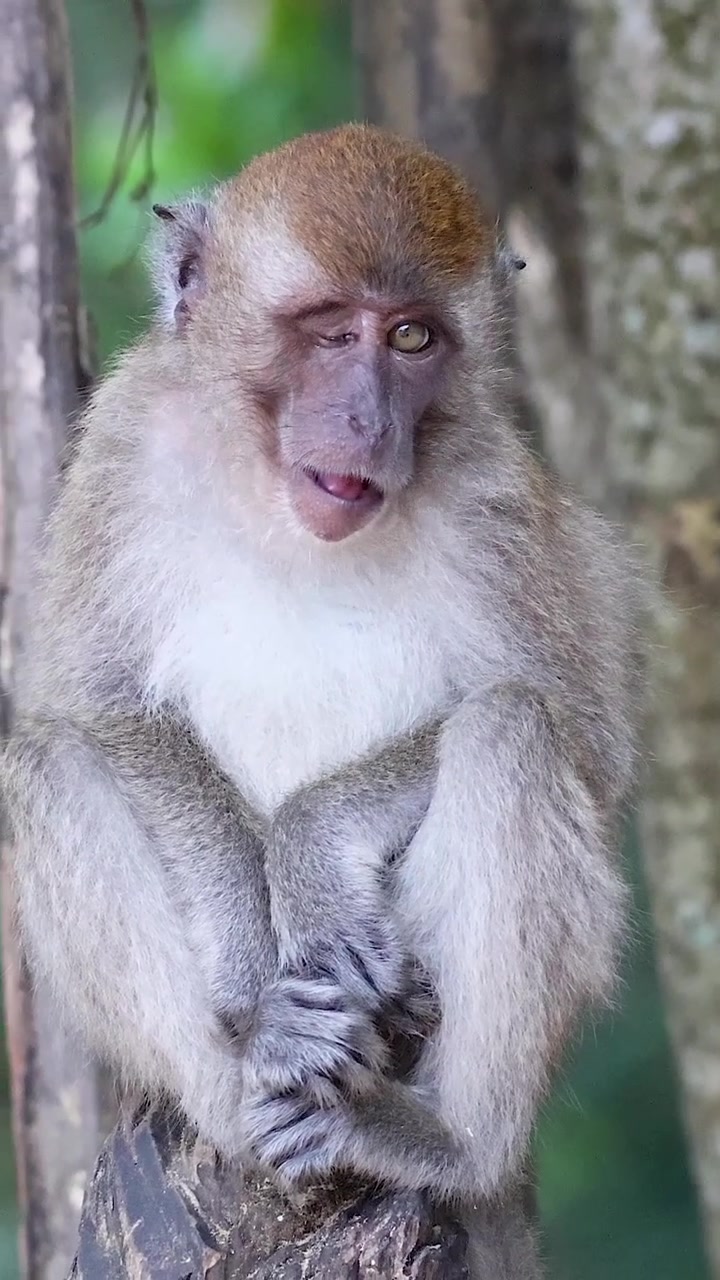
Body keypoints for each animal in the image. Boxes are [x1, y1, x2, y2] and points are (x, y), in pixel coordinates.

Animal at [2, 125, 640, 1277]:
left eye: (413, 338)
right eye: (331, 332)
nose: (366, 418)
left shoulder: (492, 484)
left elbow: (583, 734)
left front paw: (310, 852)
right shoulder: (126, 433)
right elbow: (89, 700)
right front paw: (251, 964)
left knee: (509, 731)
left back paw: (446, 1141)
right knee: (48, 762)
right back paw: (253, 1067)